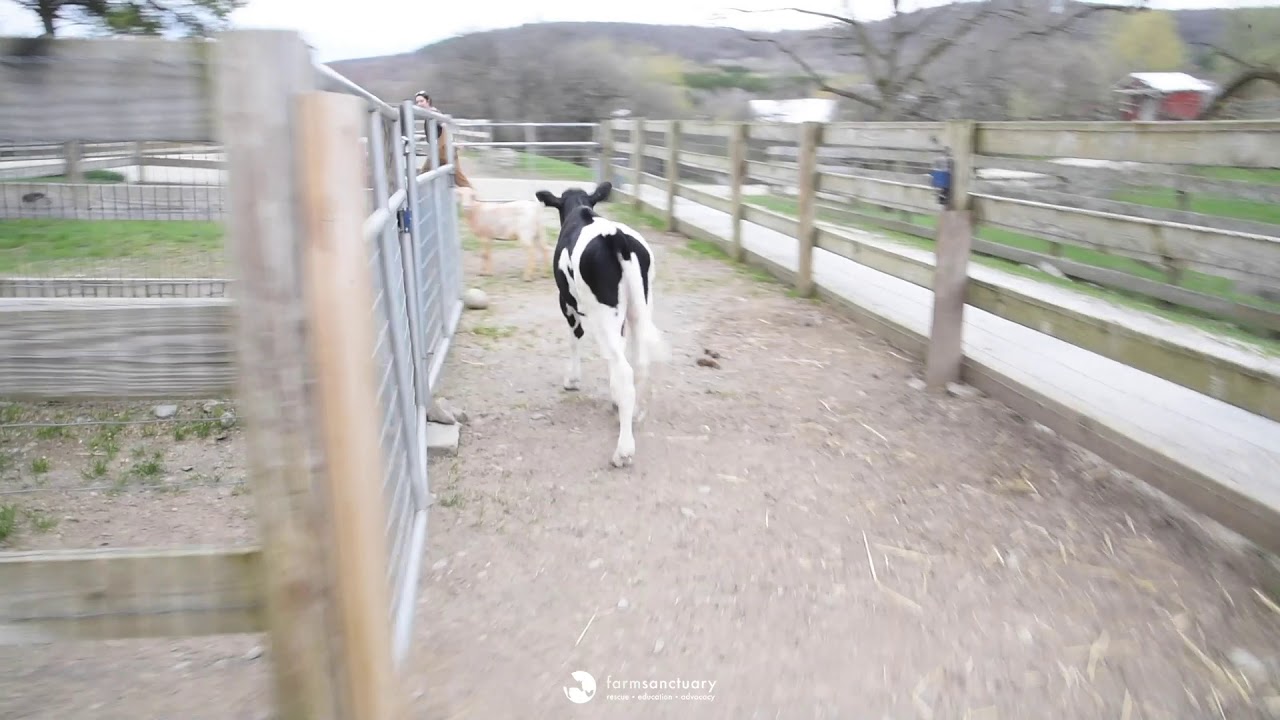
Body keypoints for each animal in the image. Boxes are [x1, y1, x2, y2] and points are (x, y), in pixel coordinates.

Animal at [535, 180, 670, 466]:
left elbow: (575, 338)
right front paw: (615, 399)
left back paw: (623, 450)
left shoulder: (566, 301)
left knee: (624, 368)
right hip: (639, 306)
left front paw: (572, 380)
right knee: (638, 363)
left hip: (603, 310)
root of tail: (616, 236)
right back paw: (634, 413)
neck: (580, 208)